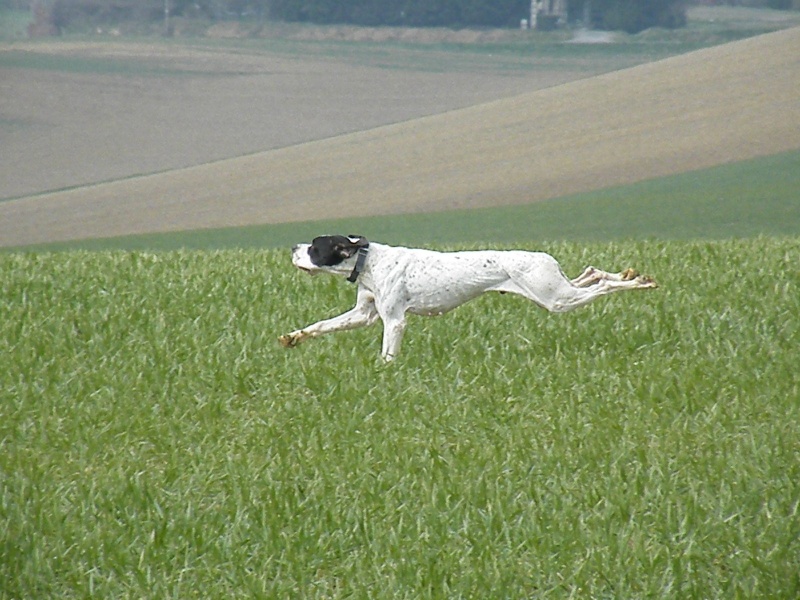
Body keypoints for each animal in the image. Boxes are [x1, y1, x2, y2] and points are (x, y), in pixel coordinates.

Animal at [278, 237, 660, 364]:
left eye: (314, 247)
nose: (293, 246)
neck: (368, 260)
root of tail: (542, 257)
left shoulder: (394, 321)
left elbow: (387, 355)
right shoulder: (363, 314)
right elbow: (321, 325)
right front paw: (294, 336)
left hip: (556, 299)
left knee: (600, 286)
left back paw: (639, 282)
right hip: (557, 289)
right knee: (593, 273)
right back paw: (628, 274)